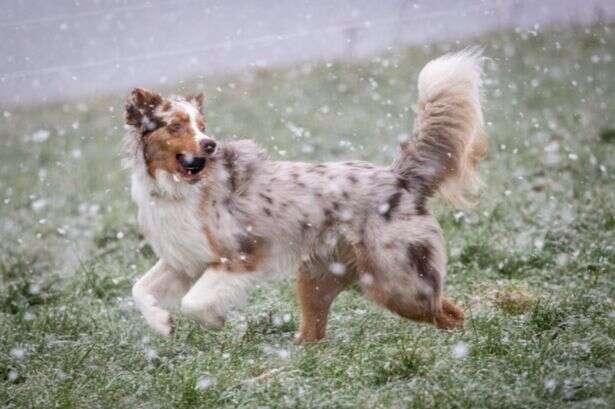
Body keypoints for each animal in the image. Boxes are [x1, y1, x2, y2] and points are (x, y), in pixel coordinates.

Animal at [125, 49, 488, 340]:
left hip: (395, 281)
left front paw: (213, 320)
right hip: (319, 278)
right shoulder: (184, 259)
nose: (209, 144)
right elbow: (138, 288)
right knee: (315, 333)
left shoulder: (239, 255)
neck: (176, 190)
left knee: (447, 313)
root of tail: (400, 177)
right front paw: (161, 323)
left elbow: (193, 301)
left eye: (201, 126)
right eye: (175, 126)